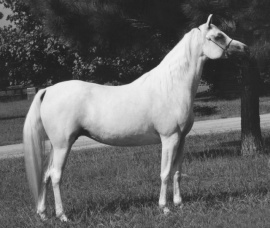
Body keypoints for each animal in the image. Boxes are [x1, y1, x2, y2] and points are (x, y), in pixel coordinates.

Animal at [23, 15, 249, 222]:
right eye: (218, 36)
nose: (244, 48)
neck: (171, 86)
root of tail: (48, 90)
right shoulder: (169, 138)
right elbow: (165, 172)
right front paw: (164, 208)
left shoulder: (181, 139)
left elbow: (177, 171)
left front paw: (179, 204)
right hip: (63, 145)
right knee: (55, 176)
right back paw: (62, 216)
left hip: (57, 145)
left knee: (45, 175)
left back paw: (43, 214)